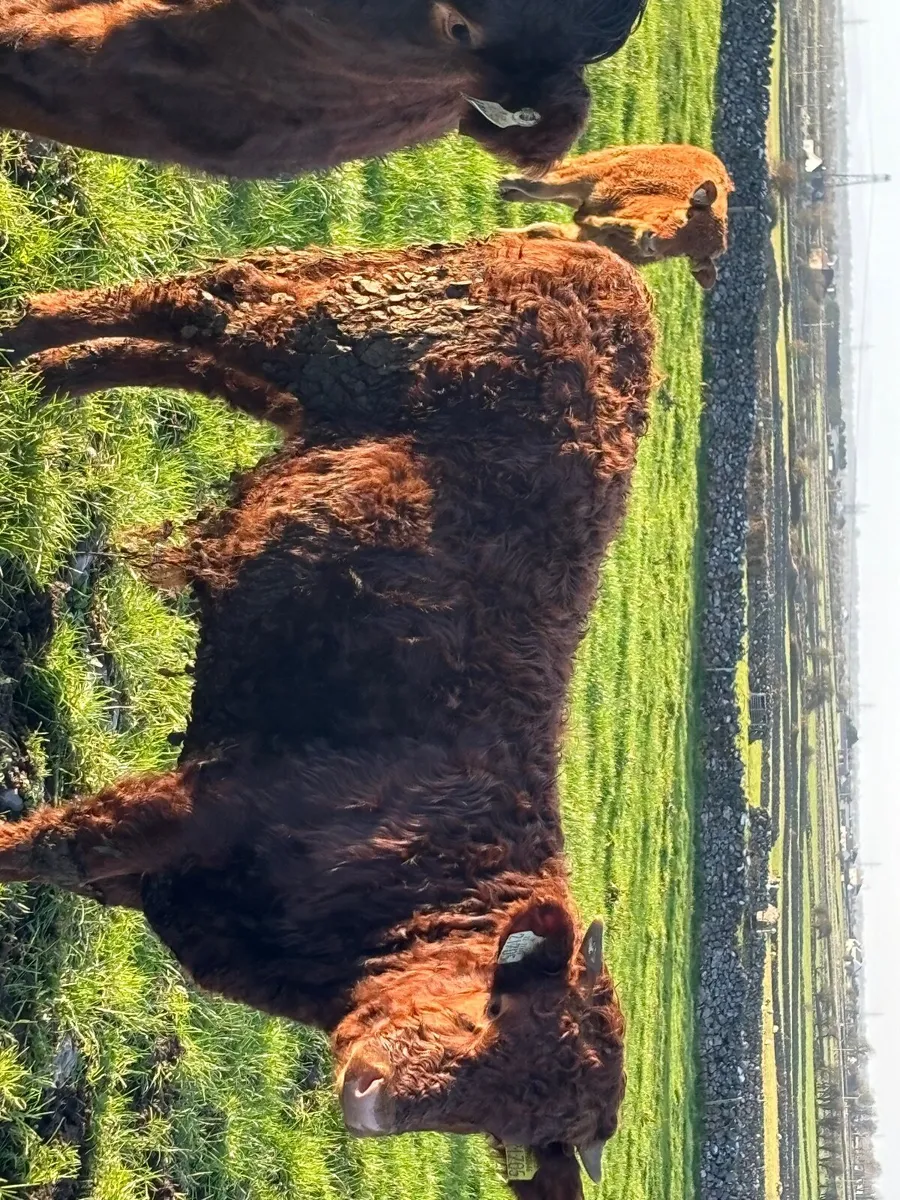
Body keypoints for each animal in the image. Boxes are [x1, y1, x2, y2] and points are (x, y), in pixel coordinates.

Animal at [0, 233, 655, 1198]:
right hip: (336, 332)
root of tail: (606, 273)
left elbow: (68, 863)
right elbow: (55, 844)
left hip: (316, 385)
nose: (372, 1095)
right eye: (493, 1009)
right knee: (197, 304)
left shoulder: (165, 871)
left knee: (185, 350)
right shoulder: (204, 801)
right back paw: (22, 334)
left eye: (503, 1127)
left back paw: (39, 385)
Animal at [498, 143, 735, 289]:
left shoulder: (580, 235)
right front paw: (505, 181)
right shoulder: (590, 180)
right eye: (689, 214)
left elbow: (539, 230)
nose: (652, 243)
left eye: (690, 255)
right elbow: (542, 186)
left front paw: (501, 235)